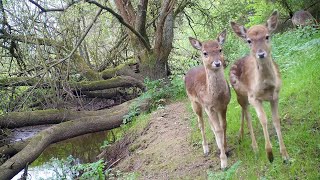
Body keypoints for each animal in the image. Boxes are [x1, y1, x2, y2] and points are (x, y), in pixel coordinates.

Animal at [185, 29, 230, 169]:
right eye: (205, 53)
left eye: (220, 49)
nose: (217, 63)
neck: (216, 97)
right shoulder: (209, 107)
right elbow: (218, 129)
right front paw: (223, 162)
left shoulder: (223, 106)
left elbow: (223, 125)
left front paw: (225, 147)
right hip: (194, 103)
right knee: (201, 124)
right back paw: (205, 149)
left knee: (210, 125)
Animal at [230, 10, 290, 163]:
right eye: (249, 40)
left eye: (267, 36)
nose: (261, 54)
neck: (267, 86)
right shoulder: (254, 97)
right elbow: (263, 120)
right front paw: (269, 154)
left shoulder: (275, 96)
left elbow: (276, 120)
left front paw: (285, 155)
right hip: (240, 95)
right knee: (248, 116)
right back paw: (255, 148)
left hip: (244, 98)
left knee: (243, 112)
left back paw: (241, 137)